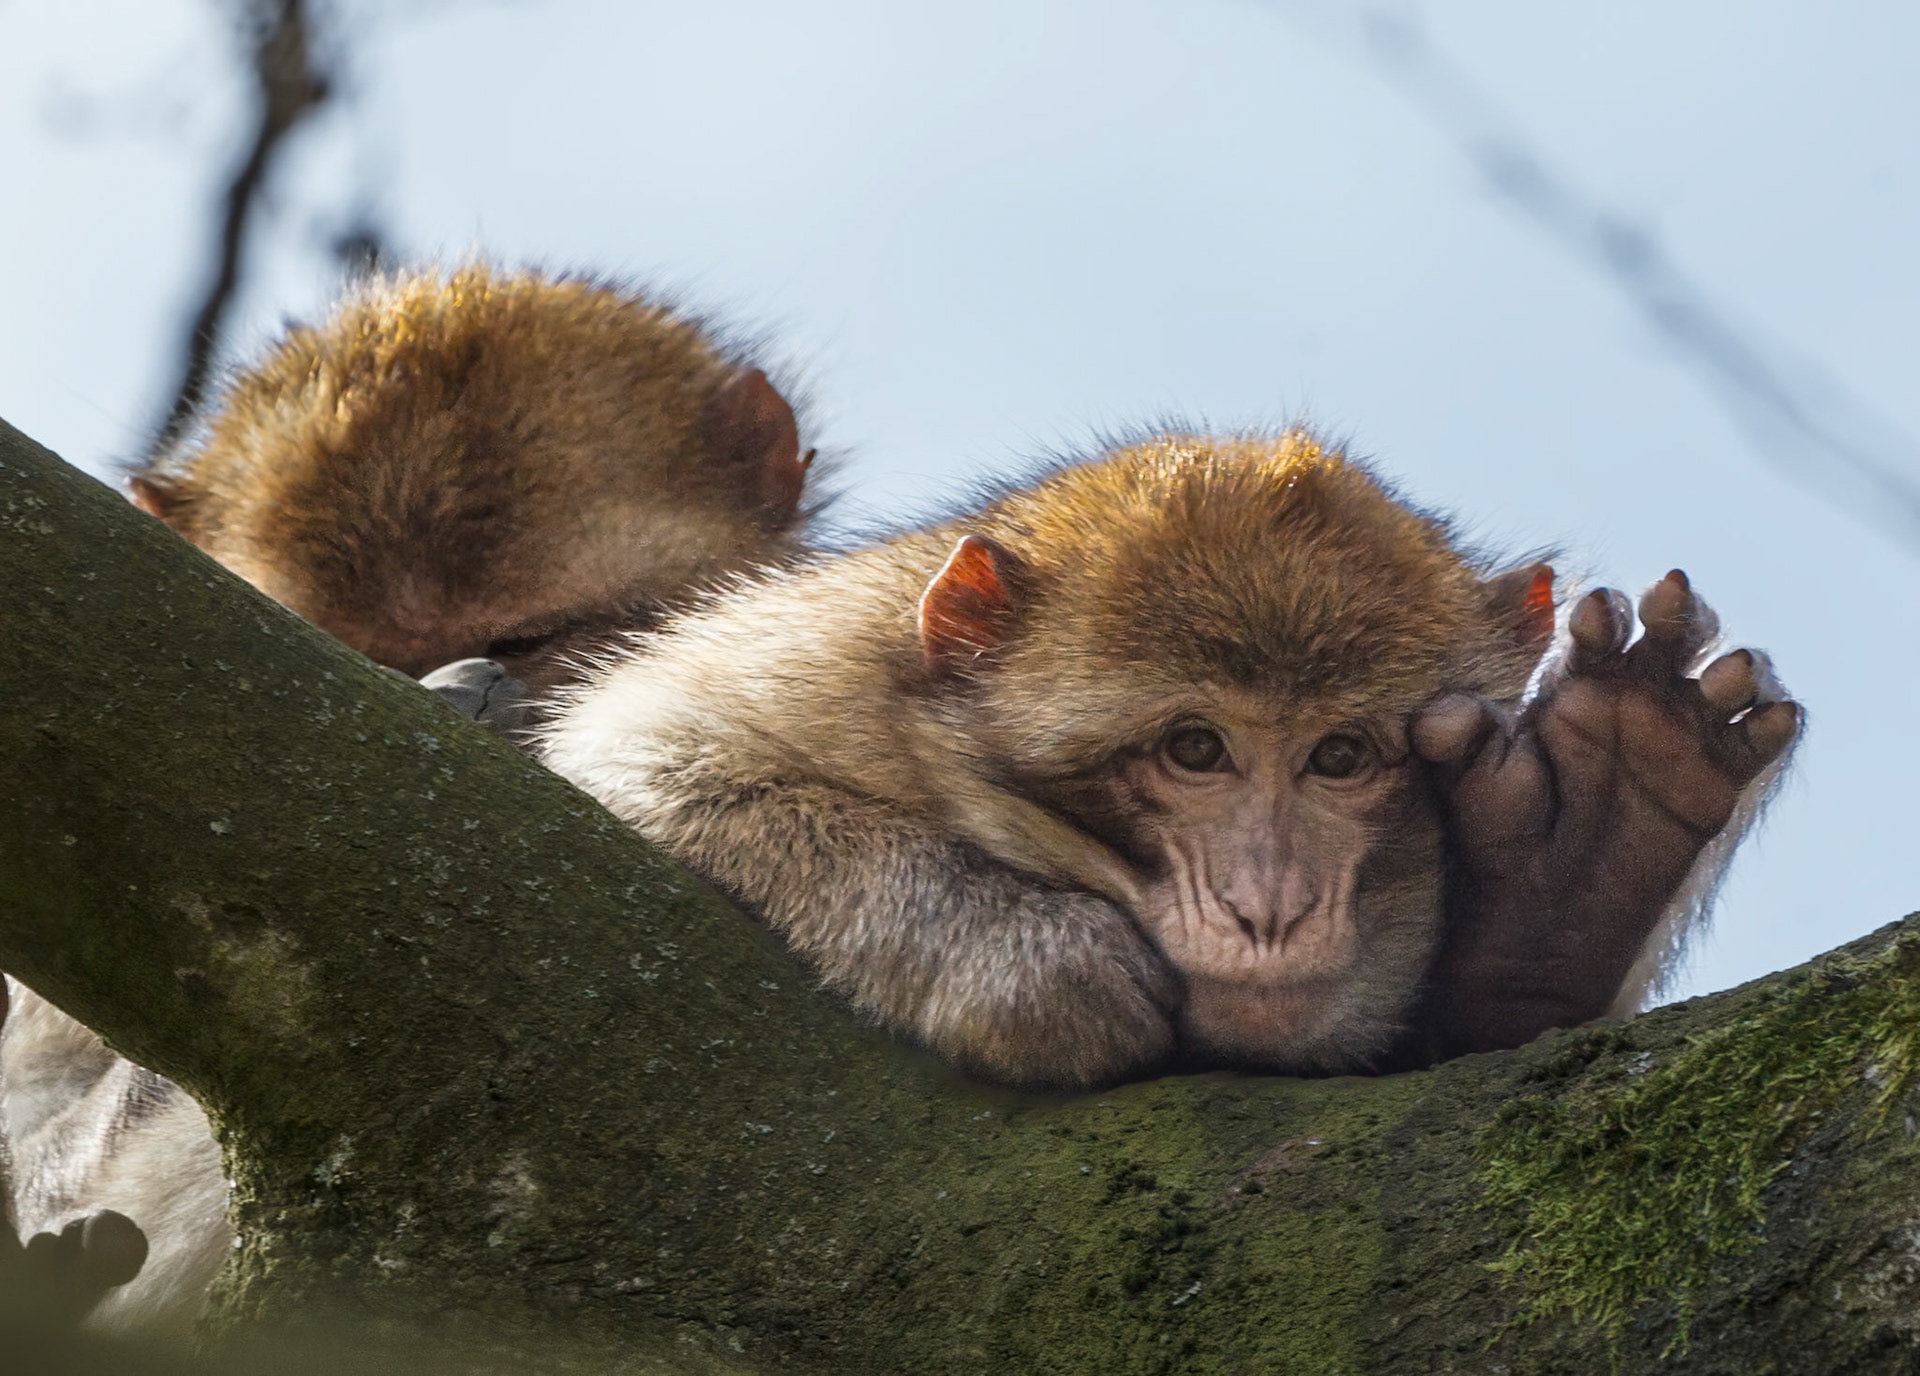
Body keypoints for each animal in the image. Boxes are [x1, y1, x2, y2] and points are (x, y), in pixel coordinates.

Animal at [539, 430, 1797, 1089]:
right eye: (1197, 748)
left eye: (1340, 753)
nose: (1270, 907)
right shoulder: (829, 661)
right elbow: (643, 760)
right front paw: (1026, 961)